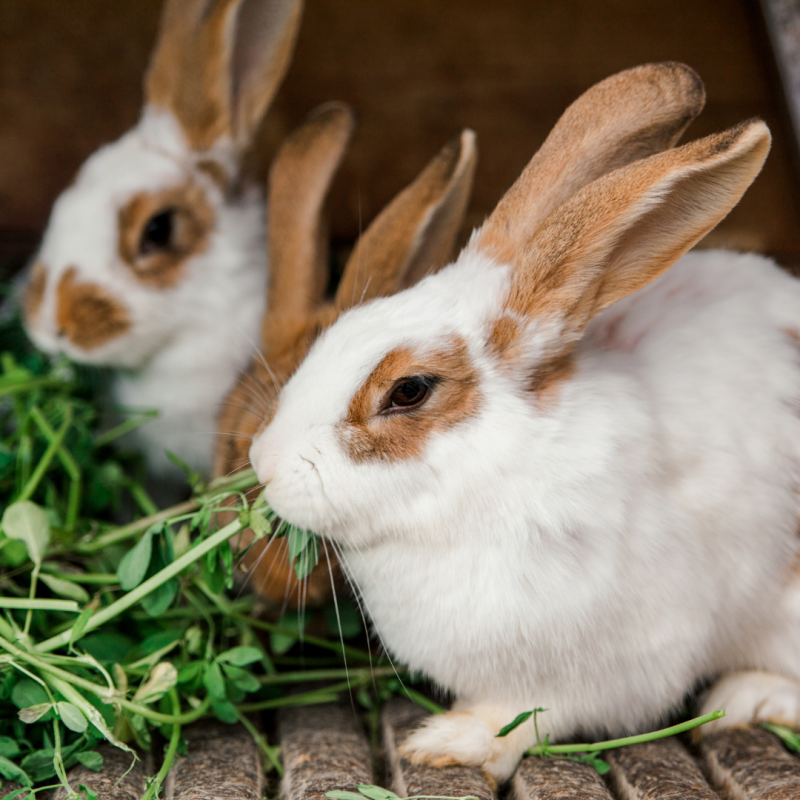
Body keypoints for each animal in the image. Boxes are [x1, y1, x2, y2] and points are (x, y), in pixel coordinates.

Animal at [247, 62, 800, 780]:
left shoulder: (616, 660)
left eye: (408, 391)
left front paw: (449, 742)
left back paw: (751, 696)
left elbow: (530, 716)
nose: (263, 463)